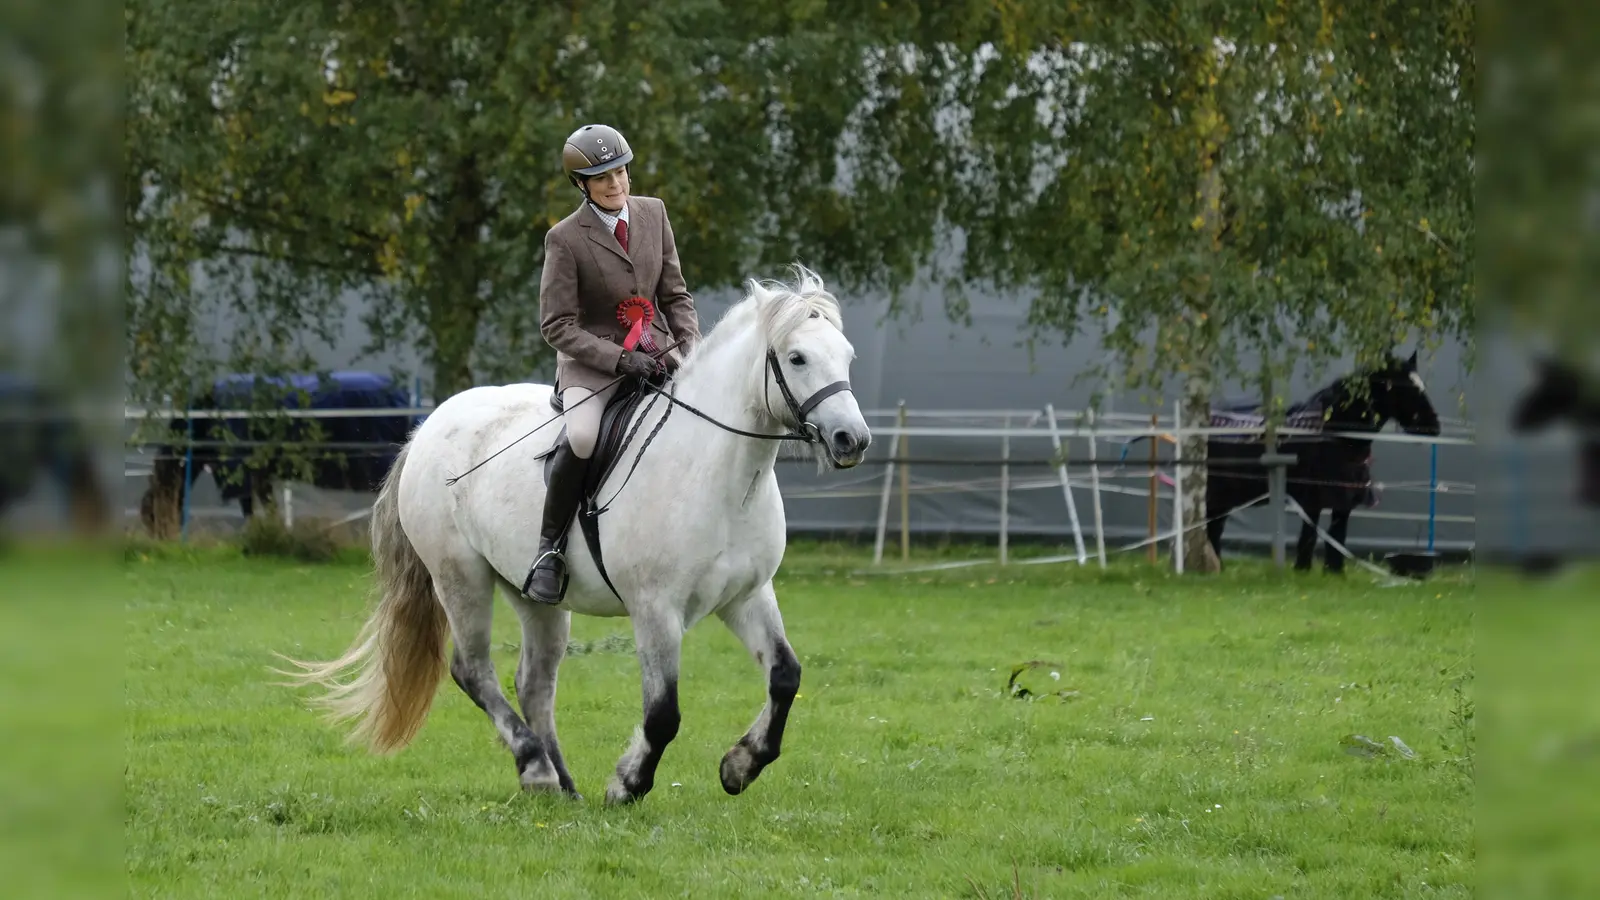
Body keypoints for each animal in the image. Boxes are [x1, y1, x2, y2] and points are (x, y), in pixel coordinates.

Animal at [140, 369, 419, 534]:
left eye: (151, 514)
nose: (162, 537)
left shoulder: (244, 471)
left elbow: (249, 506)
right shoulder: (261, 474)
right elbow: (266, 505)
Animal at [281, 262, 870, 800]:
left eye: (846, 356)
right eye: (796, 358)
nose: (852, 440)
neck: (721, 476)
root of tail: (430, 426)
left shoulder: (747, 595)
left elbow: (785, 676)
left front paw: (740, 766)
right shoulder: (655, 609)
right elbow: (663, 712)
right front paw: (629, 783)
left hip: (533, 596)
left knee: (534, 682)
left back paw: (562, 782)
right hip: (459, 577)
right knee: (473, 671)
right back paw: (535, 768)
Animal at [1203, 349, 1446, 566]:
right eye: (1404, 388)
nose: (1434, 426)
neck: (1335, 435)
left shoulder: (1344, 502)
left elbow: (1336, 541)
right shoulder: (1313, 500)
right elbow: (1308, 540)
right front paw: (1302, 569)